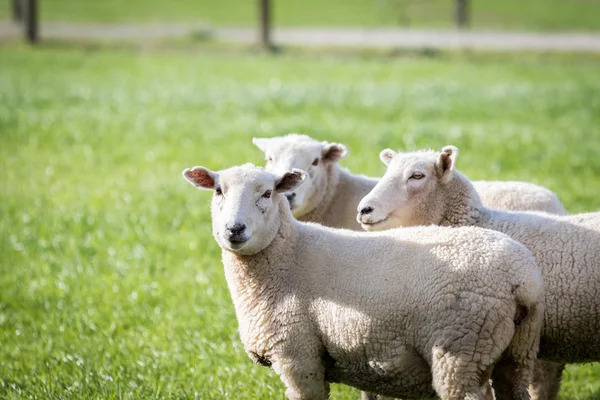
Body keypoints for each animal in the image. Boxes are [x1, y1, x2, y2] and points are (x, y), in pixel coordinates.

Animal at [182, 162, 544, 400]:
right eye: (218, 191)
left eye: (268, 193)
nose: (235, 229)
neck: (288, 255)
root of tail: (522, 278)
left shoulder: (299, 359)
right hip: (516, 354)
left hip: (460, 352)